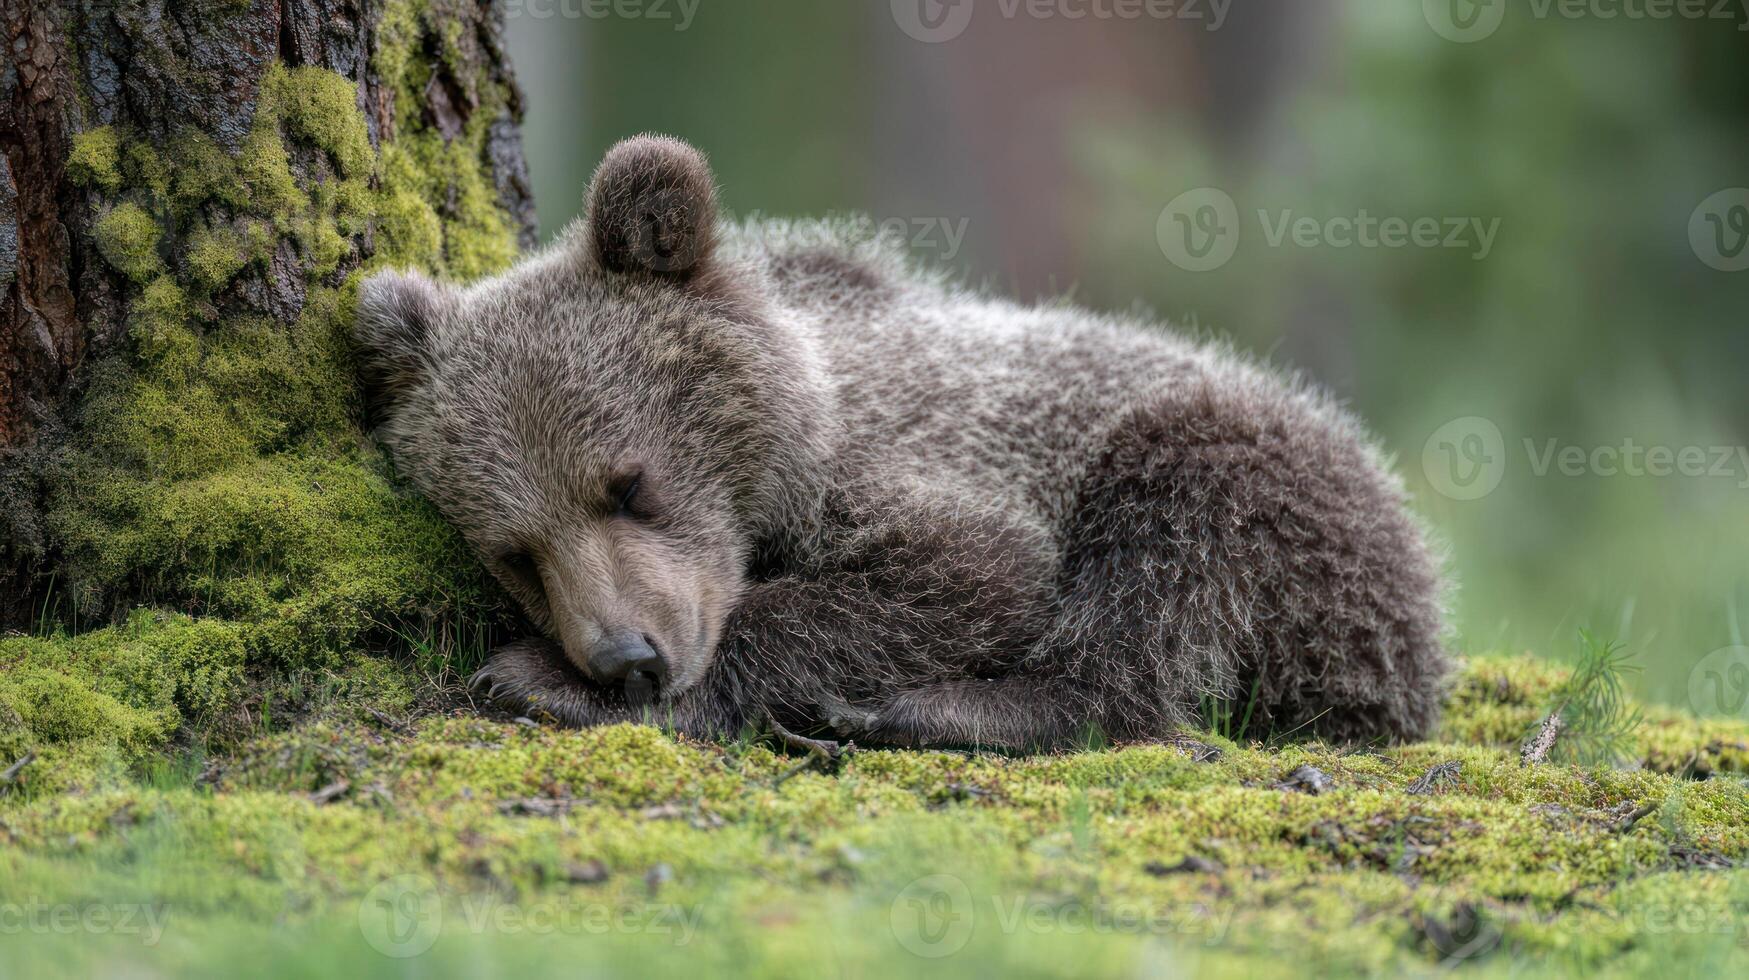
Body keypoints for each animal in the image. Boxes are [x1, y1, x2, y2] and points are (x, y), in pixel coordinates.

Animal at [354, 134, 1449, 752]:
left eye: (629, 485)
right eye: (513, 552)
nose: (628, 658)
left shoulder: (927, 451)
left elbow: (972, 569)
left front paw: (532, 678)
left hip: (1279, 504)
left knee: (1167, 567)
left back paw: (932, 710)